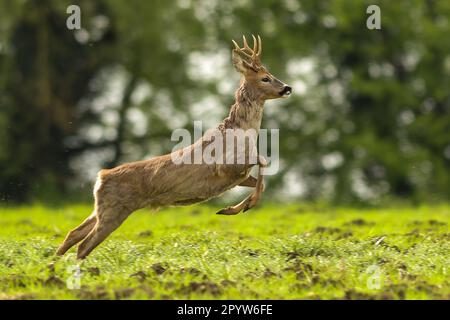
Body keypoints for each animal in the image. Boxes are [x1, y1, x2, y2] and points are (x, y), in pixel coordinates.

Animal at [56, 35, 292, 260]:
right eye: (265, 78)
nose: (287, 88)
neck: (241, 133)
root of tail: (100, 176)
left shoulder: (236, 177)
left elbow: (260, 181)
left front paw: (232, 208)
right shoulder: (224, 167)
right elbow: (262, 161)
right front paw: (240, 207)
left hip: (102, 208)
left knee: (73, 234)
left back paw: (54, 264)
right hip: (115, 209)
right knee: (84, 245)